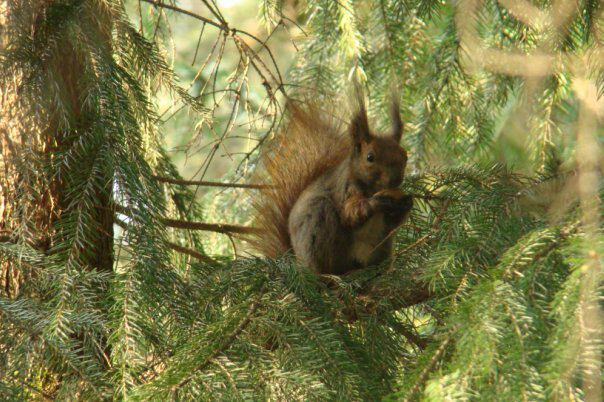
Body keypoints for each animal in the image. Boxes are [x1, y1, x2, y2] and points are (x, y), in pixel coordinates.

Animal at [251, 96, 416, 276]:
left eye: (405, 155)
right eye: (370, 157)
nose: (395, 179)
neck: (372, 188)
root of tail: (298, 260)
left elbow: (394, 222)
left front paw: (407, 202)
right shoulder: (346, 189)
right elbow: (350, 214)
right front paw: (374, 203)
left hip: (381, 247)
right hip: (320, 227)